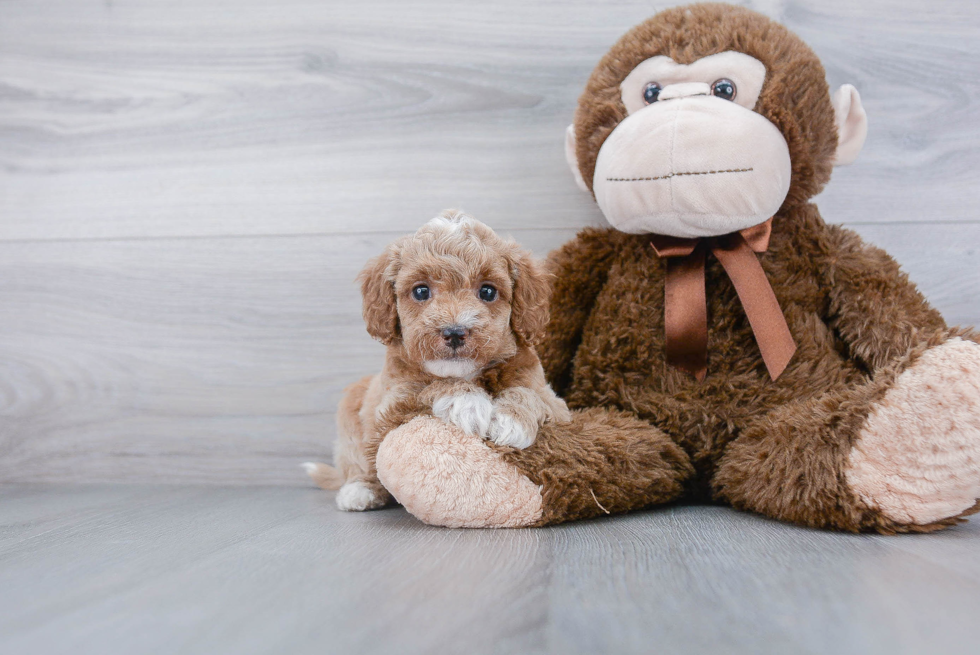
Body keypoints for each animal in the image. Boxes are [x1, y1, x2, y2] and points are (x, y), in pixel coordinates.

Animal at [302, 210, 572, 512]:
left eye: (487, 292)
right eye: (421, 291)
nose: (454, 332)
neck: (464, 373)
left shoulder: (556, 405)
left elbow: (529, 393)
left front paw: (512, 419)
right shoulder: (392, 404)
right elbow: (429, 387)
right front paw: (467, 401)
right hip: (351, 417)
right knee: (359, 463)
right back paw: (359, 491)